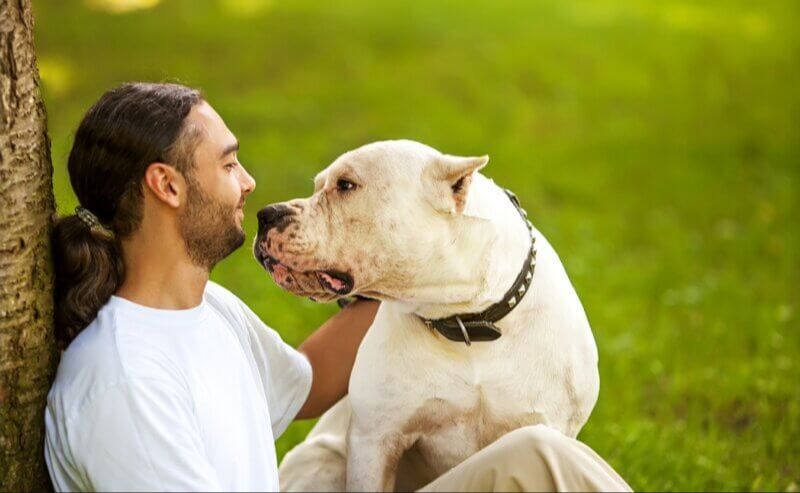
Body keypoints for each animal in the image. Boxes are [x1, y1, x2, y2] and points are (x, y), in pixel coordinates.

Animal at [253, 139, 596, 492]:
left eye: (345, 185)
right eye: (319, 185)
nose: (266, 214)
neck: (466, 320)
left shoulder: (548, 425)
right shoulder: (374, 440)